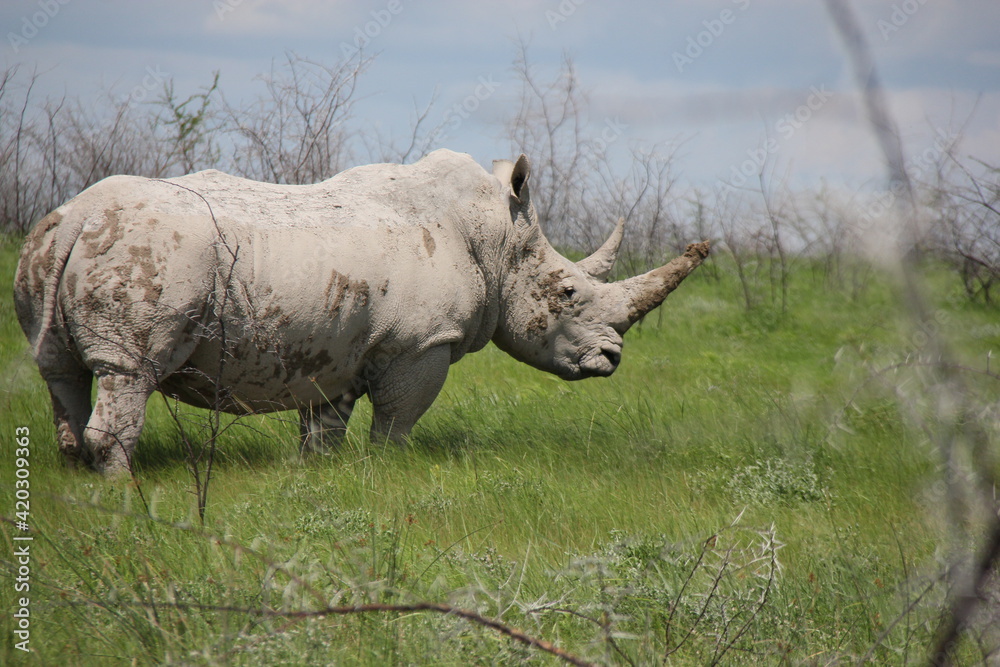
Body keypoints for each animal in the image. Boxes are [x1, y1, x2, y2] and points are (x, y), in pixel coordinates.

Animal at [14, 149, 709, 475]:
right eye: (567, 294)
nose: (612, 359)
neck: (495, 239)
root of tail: (75, 219)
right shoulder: (422, 343)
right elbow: (398, 421)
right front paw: (389, 469)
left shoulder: (336, 346)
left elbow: (324, 431)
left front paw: (319, 474)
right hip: (153, 253)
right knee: (128, 371)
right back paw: (121, 491)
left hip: (47, 250)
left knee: (61, 370)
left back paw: (80, 478)